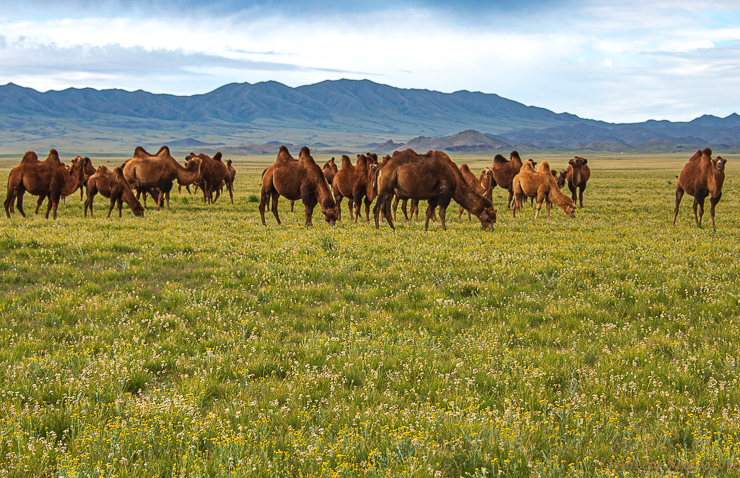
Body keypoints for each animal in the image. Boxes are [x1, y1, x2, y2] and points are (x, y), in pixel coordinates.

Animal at [370, 149, 498, 232]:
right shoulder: (444, 195)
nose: (491, 229)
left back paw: (393, 228)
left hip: (390, 191)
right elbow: (442, 213)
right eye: (488, 218)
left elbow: (428, 212)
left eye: (494, 220)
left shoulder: (433, 197)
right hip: (384, 188)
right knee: (376, 208)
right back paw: (377, 229)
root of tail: (381, 168)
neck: (456, 180)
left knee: (386, 209)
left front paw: (425, 229)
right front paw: (444, 229)